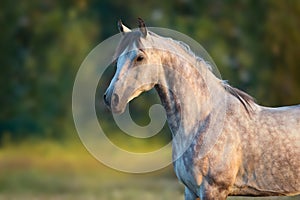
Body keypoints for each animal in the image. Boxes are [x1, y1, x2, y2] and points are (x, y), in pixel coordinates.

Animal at [103, 18, 300, 198]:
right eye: (118, 59)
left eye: (140, 57)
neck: (203, 120)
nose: (111, 98)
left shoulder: (213, 190)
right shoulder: (190, 191)